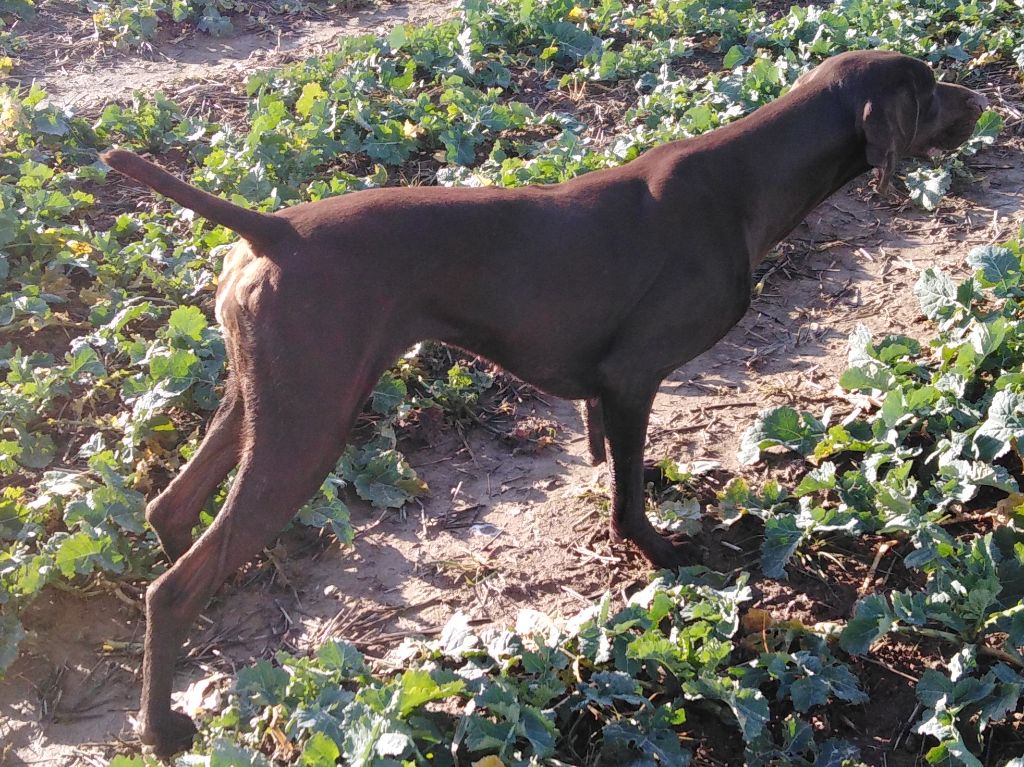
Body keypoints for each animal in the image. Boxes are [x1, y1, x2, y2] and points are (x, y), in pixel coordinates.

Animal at [101, 50, 983, 757]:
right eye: (928, 89)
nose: (982, 101)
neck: (745, 181)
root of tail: (274, 227)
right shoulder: (631, 377)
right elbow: (628, 501)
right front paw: (663, 556)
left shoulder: (610, 392)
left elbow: (622, 471)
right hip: (310, 426)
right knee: (172, 583)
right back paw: (161, 726)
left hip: (265, 402)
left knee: (168, 511)